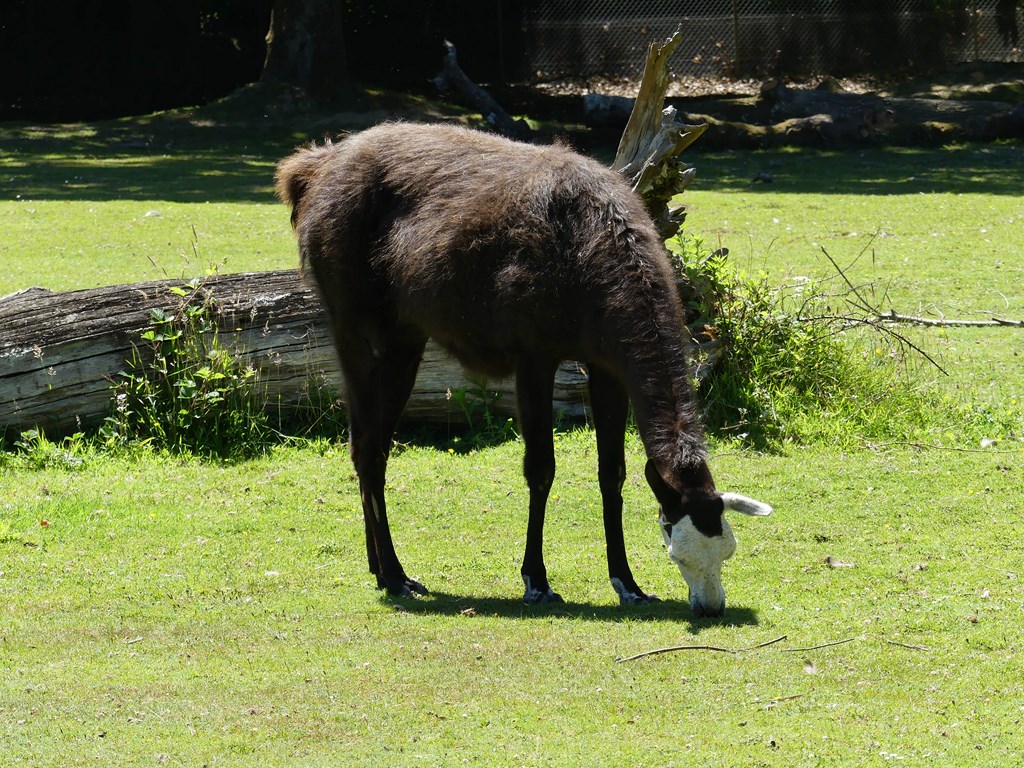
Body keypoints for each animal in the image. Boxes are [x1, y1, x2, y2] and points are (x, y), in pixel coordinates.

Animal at [276, 122, 771, 617]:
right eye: (678, 552)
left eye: (727, 551)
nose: (710, 607)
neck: (589, 266)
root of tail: (312, 169)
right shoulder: (534, 354)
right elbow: (541, 469)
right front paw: (536, 579)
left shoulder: (607, 362)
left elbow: (611, 472)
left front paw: (627, 583)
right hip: (351, 322)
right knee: (367, 447)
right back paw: (396, 576)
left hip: (404, 336)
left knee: (368, 443)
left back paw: (380, 568)